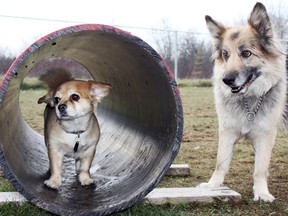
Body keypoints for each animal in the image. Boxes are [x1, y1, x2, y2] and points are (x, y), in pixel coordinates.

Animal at [199, 2, 286, 202]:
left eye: (246, 53)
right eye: (225, 54)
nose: (226, 80)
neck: (249, 99)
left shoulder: (265, 135)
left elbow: (260, 168)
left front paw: (261, 192)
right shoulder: (227, 131)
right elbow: (220, 163)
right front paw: (213, 186)